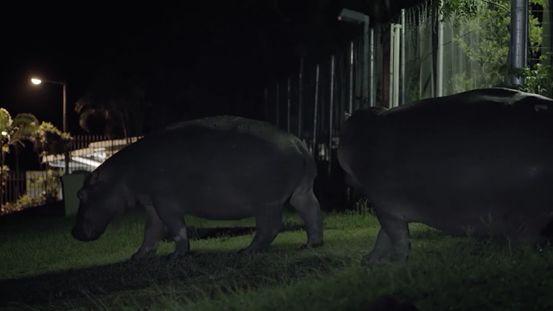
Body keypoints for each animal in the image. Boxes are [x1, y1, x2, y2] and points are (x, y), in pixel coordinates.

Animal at [71, 116, 322, 260]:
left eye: (80, 194)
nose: (73, 233)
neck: (122, 173)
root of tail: (298, 143)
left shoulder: (164, 202)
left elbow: (175, 228)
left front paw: (176, 256)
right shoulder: (151, 203)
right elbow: (151, 231)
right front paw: (138, 256)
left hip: (266, 202)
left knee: (271, 226)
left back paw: (248, 251)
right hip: (302, 192)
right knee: (312, 214)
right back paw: (310, 245)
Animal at [338, 88, 552, 264]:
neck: (358, 133)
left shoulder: (384, 207)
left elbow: (395, 238)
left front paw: (388, 263)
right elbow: (383, 236)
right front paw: (369, 261)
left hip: (525, 218)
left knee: (524, 244)